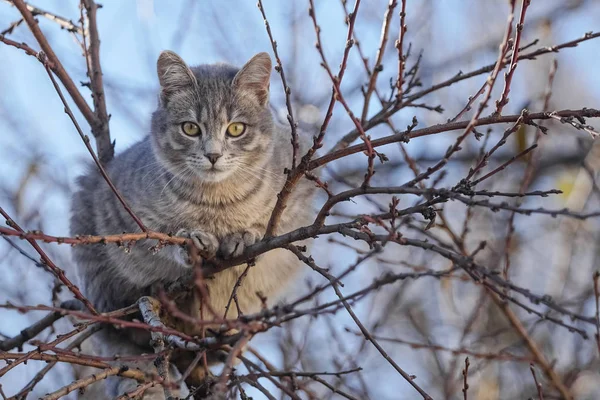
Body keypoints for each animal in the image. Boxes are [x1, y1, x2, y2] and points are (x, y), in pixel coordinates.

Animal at [68, 51, 316, 398]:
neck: (216, 203)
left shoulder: (297, 197)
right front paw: (193, 241)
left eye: (236, 129)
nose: (213, 154)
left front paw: (243, 235)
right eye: (190, 128)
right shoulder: (127, 214)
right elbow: (160, 238)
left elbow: (271, 230)